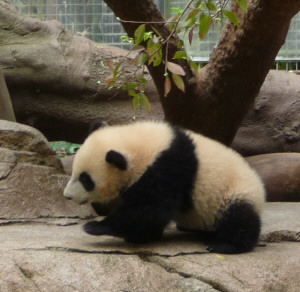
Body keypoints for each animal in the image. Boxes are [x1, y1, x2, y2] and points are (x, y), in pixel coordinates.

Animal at [63, 121, 264, 253]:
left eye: (86, 179)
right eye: (73, 172)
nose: (67, 196)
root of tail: (260, 190)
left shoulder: (168, 168)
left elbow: (149, 209)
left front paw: (95, 226)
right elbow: (149, 213)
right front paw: (142, 236)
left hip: (234, 191)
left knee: (239, 218)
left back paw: (224, 245)